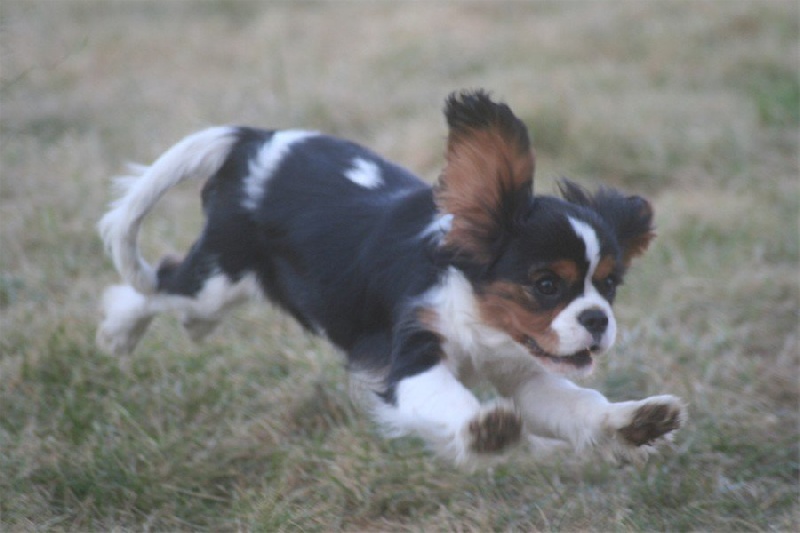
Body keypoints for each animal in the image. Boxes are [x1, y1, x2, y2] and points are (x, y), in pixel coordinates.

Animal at [98, 90, 688, 466]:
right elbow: (447, 399)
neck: (479, 318)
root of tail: (257, 141)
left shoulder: (524, 372)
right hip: (217, 278)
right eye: (546, 284)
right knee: (159, 285)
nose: (597, 320)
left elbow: (575, 404)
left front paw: (634, 423)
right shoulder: (412, 358)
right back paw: (118, 334)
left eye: (609, 286)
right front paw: (485, 432)